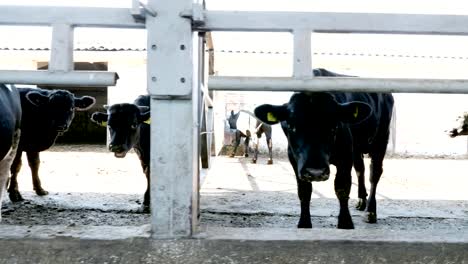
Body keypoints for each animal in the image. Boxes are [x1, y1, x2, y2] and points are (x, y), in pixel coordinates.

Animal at [254, 68, 394, 229]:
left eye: (334, 126)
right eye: (291, 126)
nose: (316, 172)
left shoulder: (345, 156)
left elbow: (342, 188)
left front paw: (345, 223)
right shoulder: (294, 159)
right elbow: (304, 191)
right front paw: (304, 223)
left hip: (381, 139)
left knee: (374, 174)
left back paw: (371, 211)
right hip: (357, 148)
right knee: (360, 169)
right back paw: (361, 201)